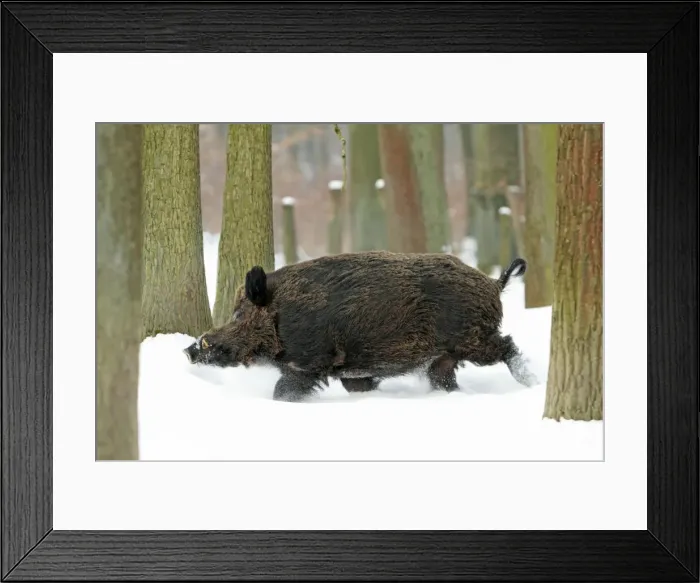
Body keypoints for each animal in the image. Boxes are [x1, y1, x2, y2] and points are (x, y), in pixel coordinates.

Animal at [183, 251, 538, 402]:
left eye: (238, 316)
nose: (190, 348)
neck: (282, 316)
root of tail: (493, 283)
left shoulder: (310, 362)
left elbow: (284, 390)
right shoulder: (353, 370)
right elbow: (359, 385)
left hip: (474, 340)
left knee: (508, 346)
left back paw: (532, 381)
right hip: (444, 358)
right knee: (444, 379)